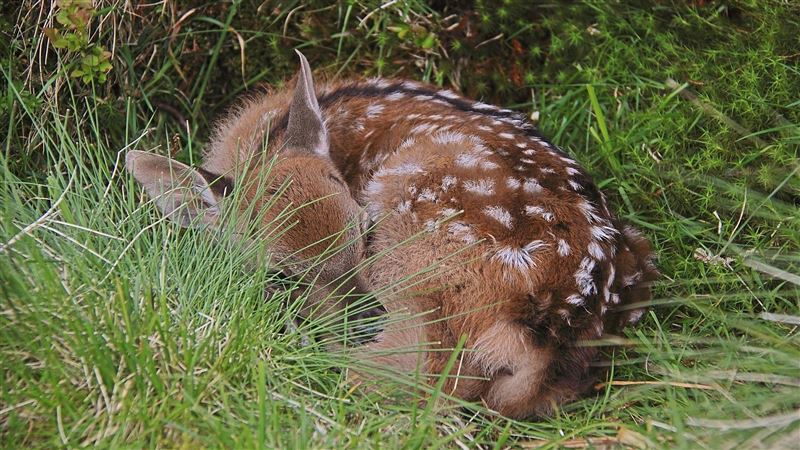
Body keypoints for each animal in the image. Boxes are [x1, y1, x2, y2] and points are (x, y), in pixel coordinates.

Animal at [126, 51, 657, 419]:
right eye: (281, 273)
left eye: (364, 231)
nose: (364, 315)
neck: (259, 143)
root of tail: (553, 327)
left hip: (418, 223)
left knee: (425, 374)